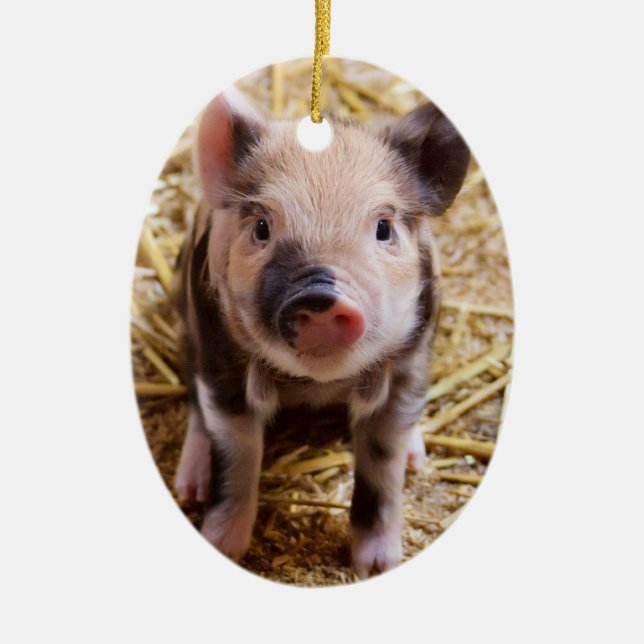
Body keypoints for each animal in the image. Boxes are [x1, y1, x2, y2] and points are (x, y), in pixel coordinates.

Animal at [172, 86, 469, 578]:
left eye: (383, 228)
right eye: (262, 227)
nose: (319, 295)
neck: (317, 385)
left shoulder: (410, 363)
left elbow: (383, 464)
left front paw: (376, 567)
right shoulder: (220, 361)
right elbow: (237, 456)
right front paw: (224, 549)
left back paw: (417, 456)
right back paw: (189, 487)